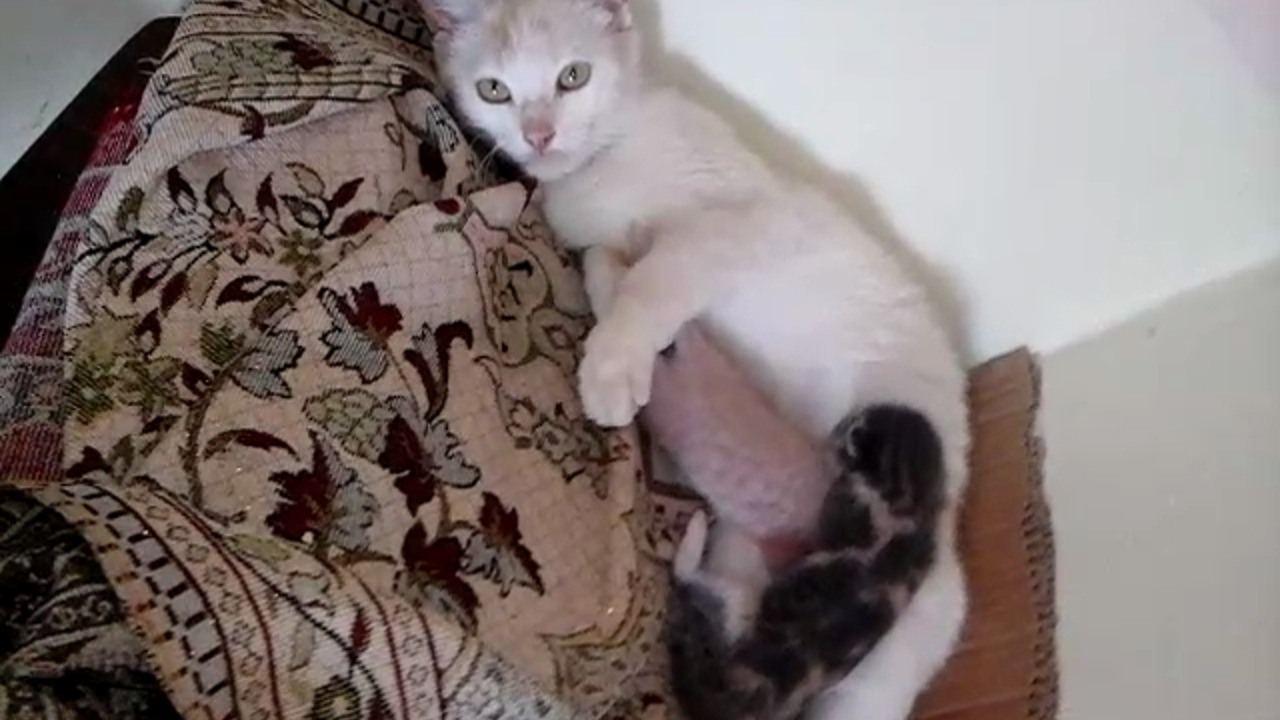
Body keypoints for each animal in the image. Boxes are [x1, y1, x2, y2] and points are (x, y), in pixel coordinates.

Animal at [419, 0, 967, 712]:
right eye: (493, 90)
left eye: (573, 76)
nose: (538, 134)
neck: (603, 164)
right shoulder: (593, 234)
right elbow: (603, 257)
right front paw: (617, 320)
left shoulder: (750, 219)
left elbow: (661, 272)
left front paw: (611, 370)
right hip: (743, 561)